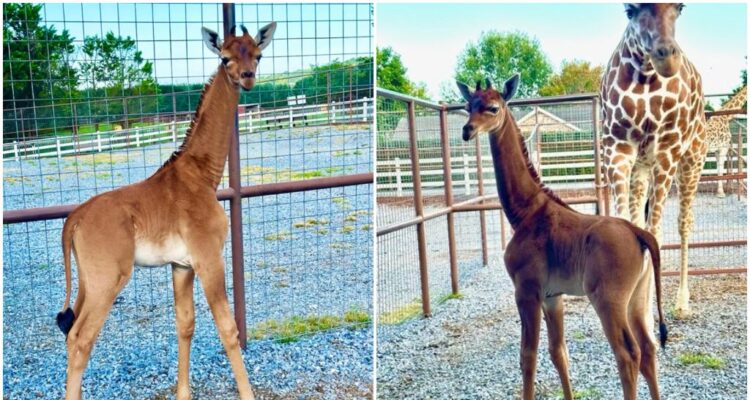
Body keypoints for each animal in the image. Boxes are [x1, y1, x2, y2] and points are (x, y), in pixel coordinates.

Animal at [55, 23, 276, 400]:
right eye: (225, 58)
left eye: (258, 55)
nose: (247, 77)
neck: (202, 175)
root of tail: (73, 220)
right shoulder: (209, 258)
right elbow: (228, 329)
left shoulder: (181, 265)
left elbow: (185, 324)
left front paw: (183, 392)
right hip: (107, 280)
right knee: (81, 339)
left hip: (87, 280)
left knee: (71, 334)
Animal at [600, 3, 706, 319]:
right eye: (629, 10)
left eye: (680, 7)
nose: (666, 57)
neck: (646, 76)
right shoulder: (617, 150)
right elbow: (629, 226)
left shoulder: (667, 152)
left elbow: (655, 232)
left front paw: (645, 316)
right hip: (641, 168)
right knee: (641, 221)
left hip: (692, 160)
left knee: (684, 222)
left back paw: (682, 303)